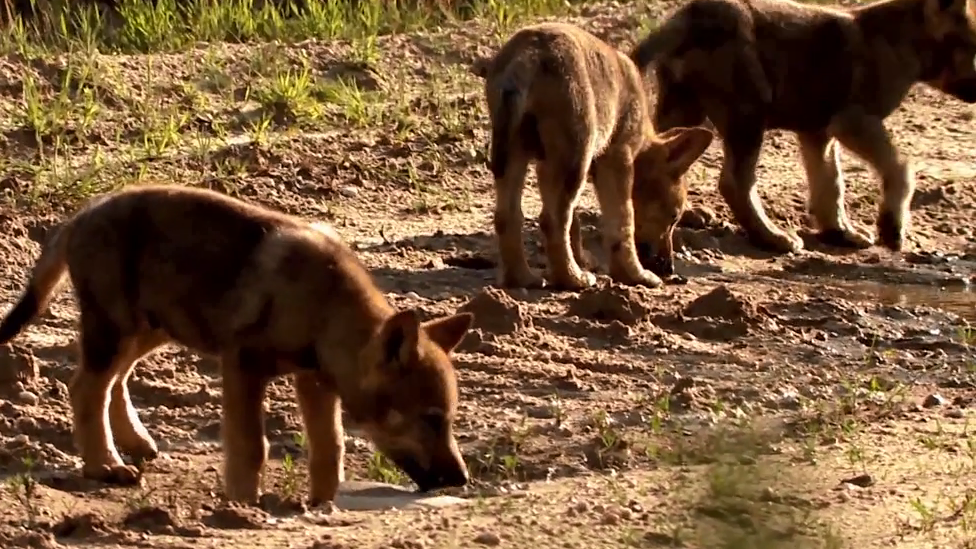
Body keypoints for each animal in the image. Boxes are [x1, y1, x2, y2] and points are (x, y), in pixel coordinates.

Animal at [0, 184, 476, 506]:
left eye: (447, 420)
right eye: (431, 419)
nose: (462, 480)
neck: (326, 309)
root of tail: (79, 216)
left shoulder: (315, 382)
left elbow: (330, 448)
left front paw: (319, 505)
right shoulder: (244, 366)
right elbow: (251, 447)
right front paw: (244, 506)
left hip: (153, 327)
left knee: (113, 381)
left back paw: (134, 443)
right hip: (118, 328)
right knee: (86, 388)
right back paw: (104, 466)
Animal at [484, 20, 712, 288]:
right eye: (674, 216)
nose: (669, 268)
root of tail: (529, 54)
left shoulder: (549, 164)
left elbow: (575, 225)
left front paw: (584, 260)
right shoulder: (618, 158)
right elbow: (623, 223)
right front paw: (633, 275)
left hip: (516, 153)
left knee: (508, 217)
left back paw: (522, 277)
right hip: (575, 156)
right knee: (551, 221)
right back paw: (572, 279)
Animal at [628, 0, 976, 255]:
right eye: (972, 45)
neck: (904, 41)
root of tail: (692, 14)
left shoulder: (818, 131)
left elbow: (830, 183)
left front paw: (839, 232)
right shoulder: (853, 120)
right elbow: (901, 167)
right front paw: (891, 230)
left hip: (685, 109)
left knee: (663, 158)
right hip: (749, 112)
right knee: (734, 182)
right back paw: (772, 237)